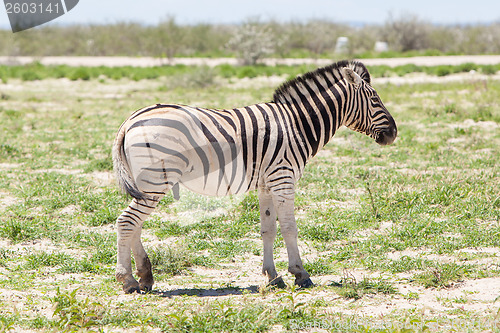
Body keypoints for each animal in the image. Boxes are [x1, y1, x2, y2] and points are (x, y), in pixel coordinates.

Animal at [111, 59, 396, 294]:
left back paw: (145, 277)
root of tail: (130, 119)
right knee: (127, 222)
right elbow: (290, 227)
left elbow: (268, 229)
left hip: (147, 184)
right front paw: (300, 274)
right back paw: (128, 280)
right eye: (374, 99)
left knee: (135, 224)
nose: (394, 134)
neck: (297, 124)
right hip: (156, 181)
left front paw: (273, 277)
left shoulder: (267, 184)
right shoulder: (283, 178)